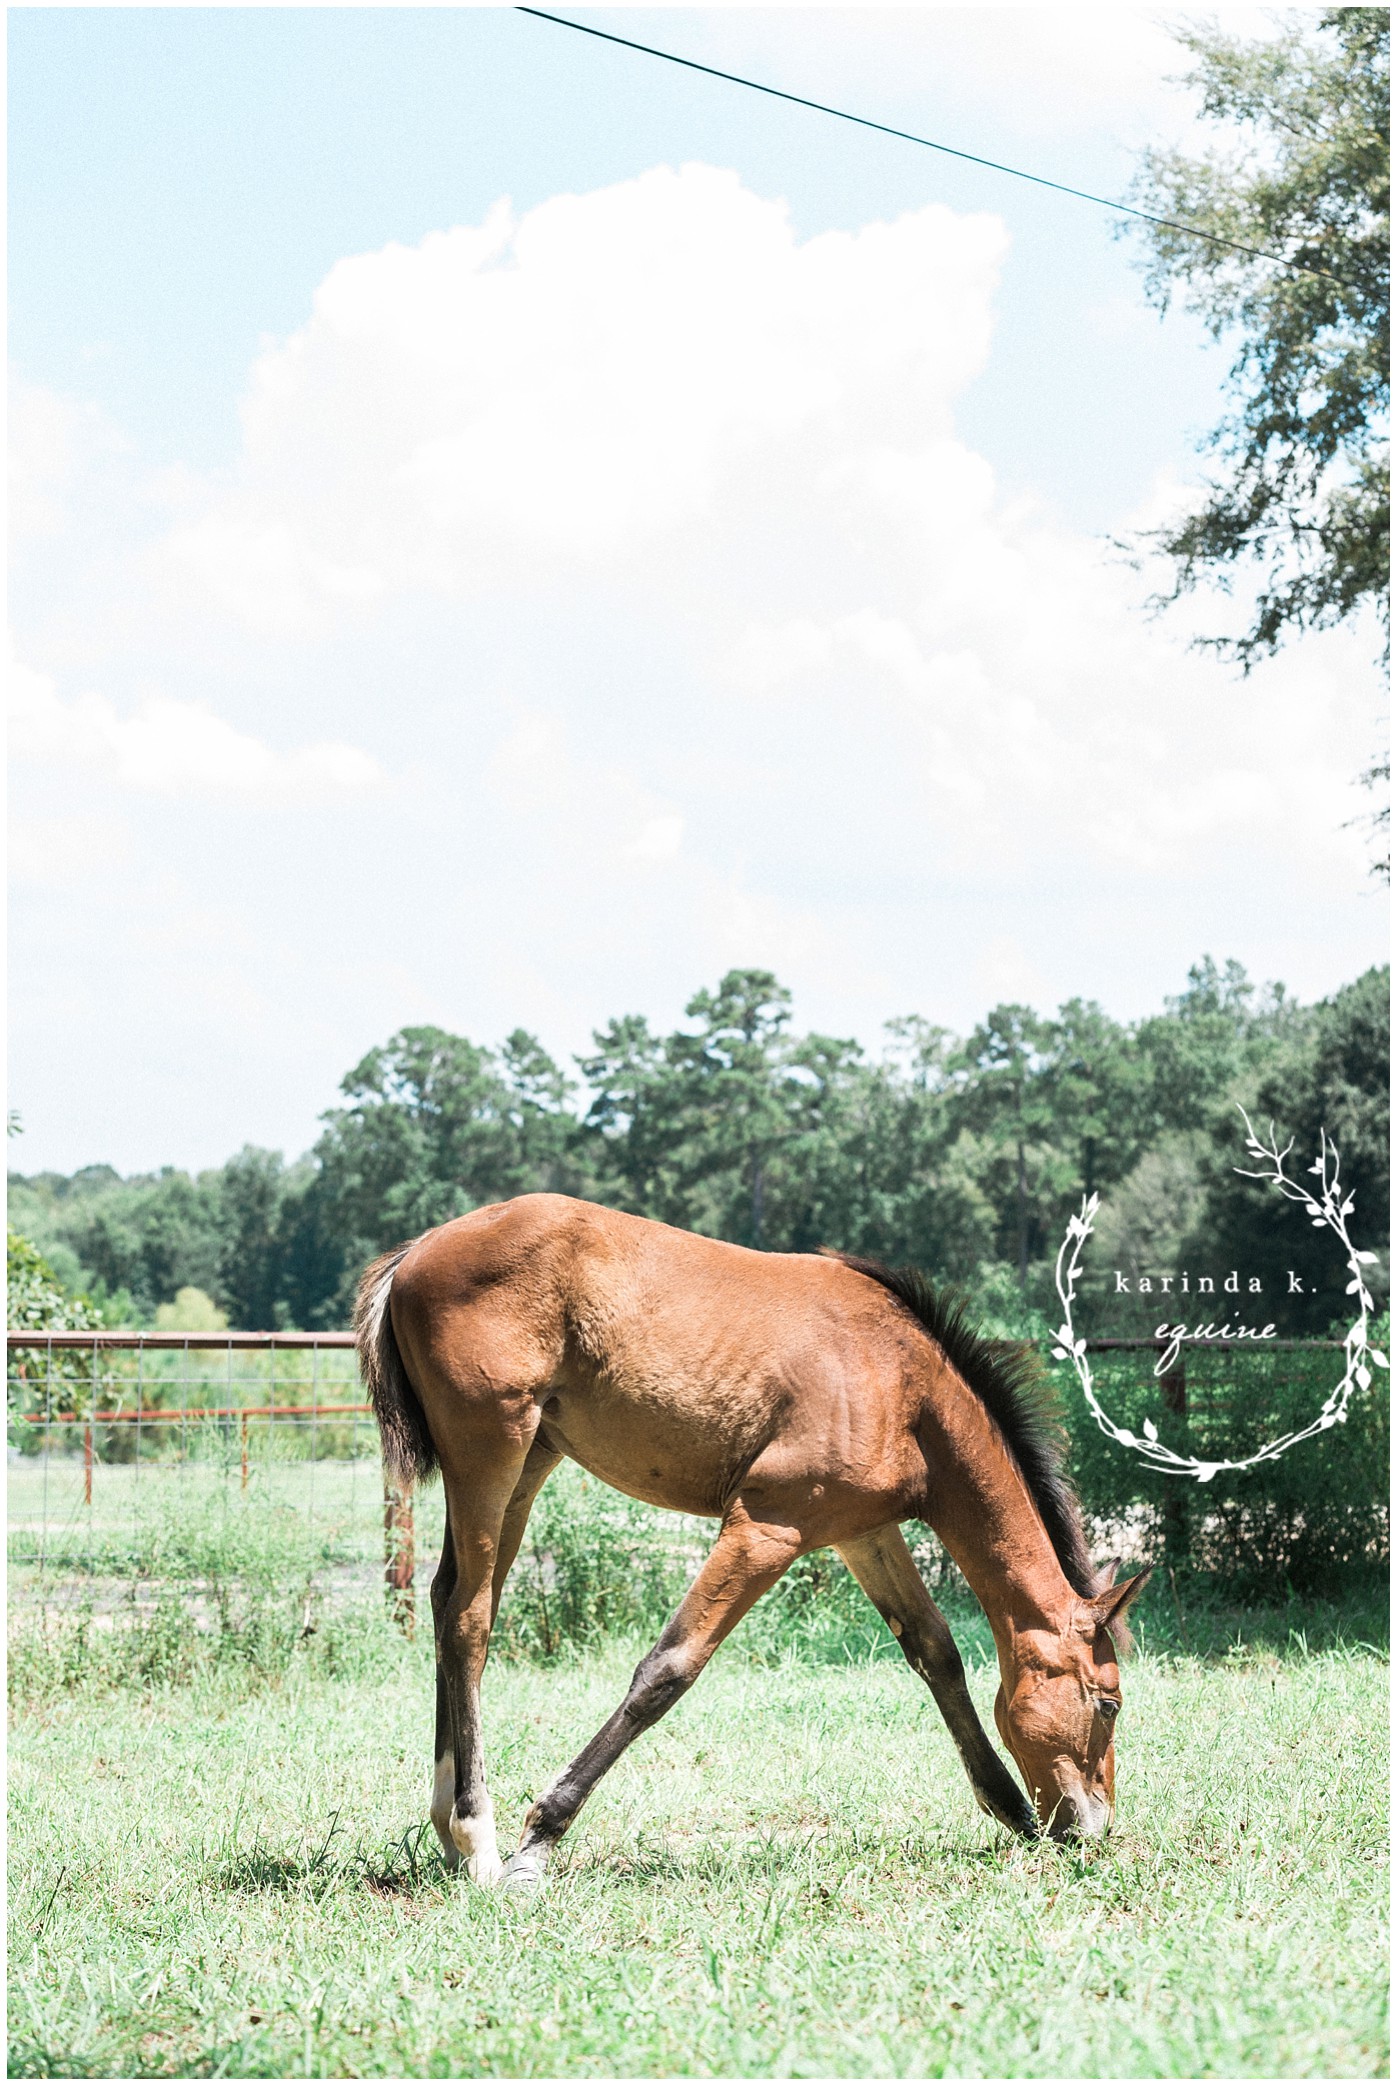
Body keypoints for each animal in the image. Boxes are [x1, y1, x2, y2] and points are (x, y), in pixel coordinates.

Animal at [355, 1192, 1150, 1889]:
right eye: (1108, 1703)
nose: (1091, 1829)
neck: (902, 1383)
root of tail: (417, 1252)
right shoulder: (767, 1527)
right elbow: (668, 1670)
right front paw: (539, 1841)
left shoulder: (864, 1532)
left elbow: (936, 1653)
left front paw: (1007, 1805)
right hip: (491, 1451)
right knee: (469, 1618)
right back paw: (479, 1841)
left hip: (526, 1464)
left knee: (447, 1601)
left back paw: (447, 1830)